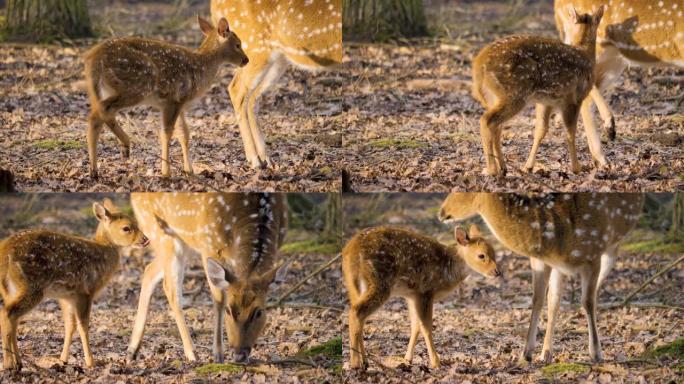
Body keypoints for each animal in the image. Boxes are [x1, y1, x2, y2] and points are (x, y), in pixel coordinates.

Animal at [127, 192, 288, 364]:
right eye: (229, 310)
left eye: (259, 312)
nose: (239, 355)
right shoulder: (208, 245)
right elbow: (219, 299)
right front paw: (218, 354)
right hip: (161, 232)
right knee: (171, 289)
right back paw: (192, 353)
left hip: (182, 240)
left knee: (149, 270)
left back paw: (132, 349)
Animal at [210, 0, 342, 168]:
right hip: (254, 45)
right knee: (236, 89)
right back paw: (254, 160)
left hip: (277, 58)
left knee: (252, 98)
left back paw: (265, 158)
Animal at [440, 194, 644, 362]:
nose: (441, 212)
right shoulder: (546, 262)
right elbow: (542, 300)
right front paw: (531, 352)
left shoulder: (593, 254)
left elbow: (587, 302)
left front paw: (596, 353)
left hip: (611, 246)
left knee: (595, 290)